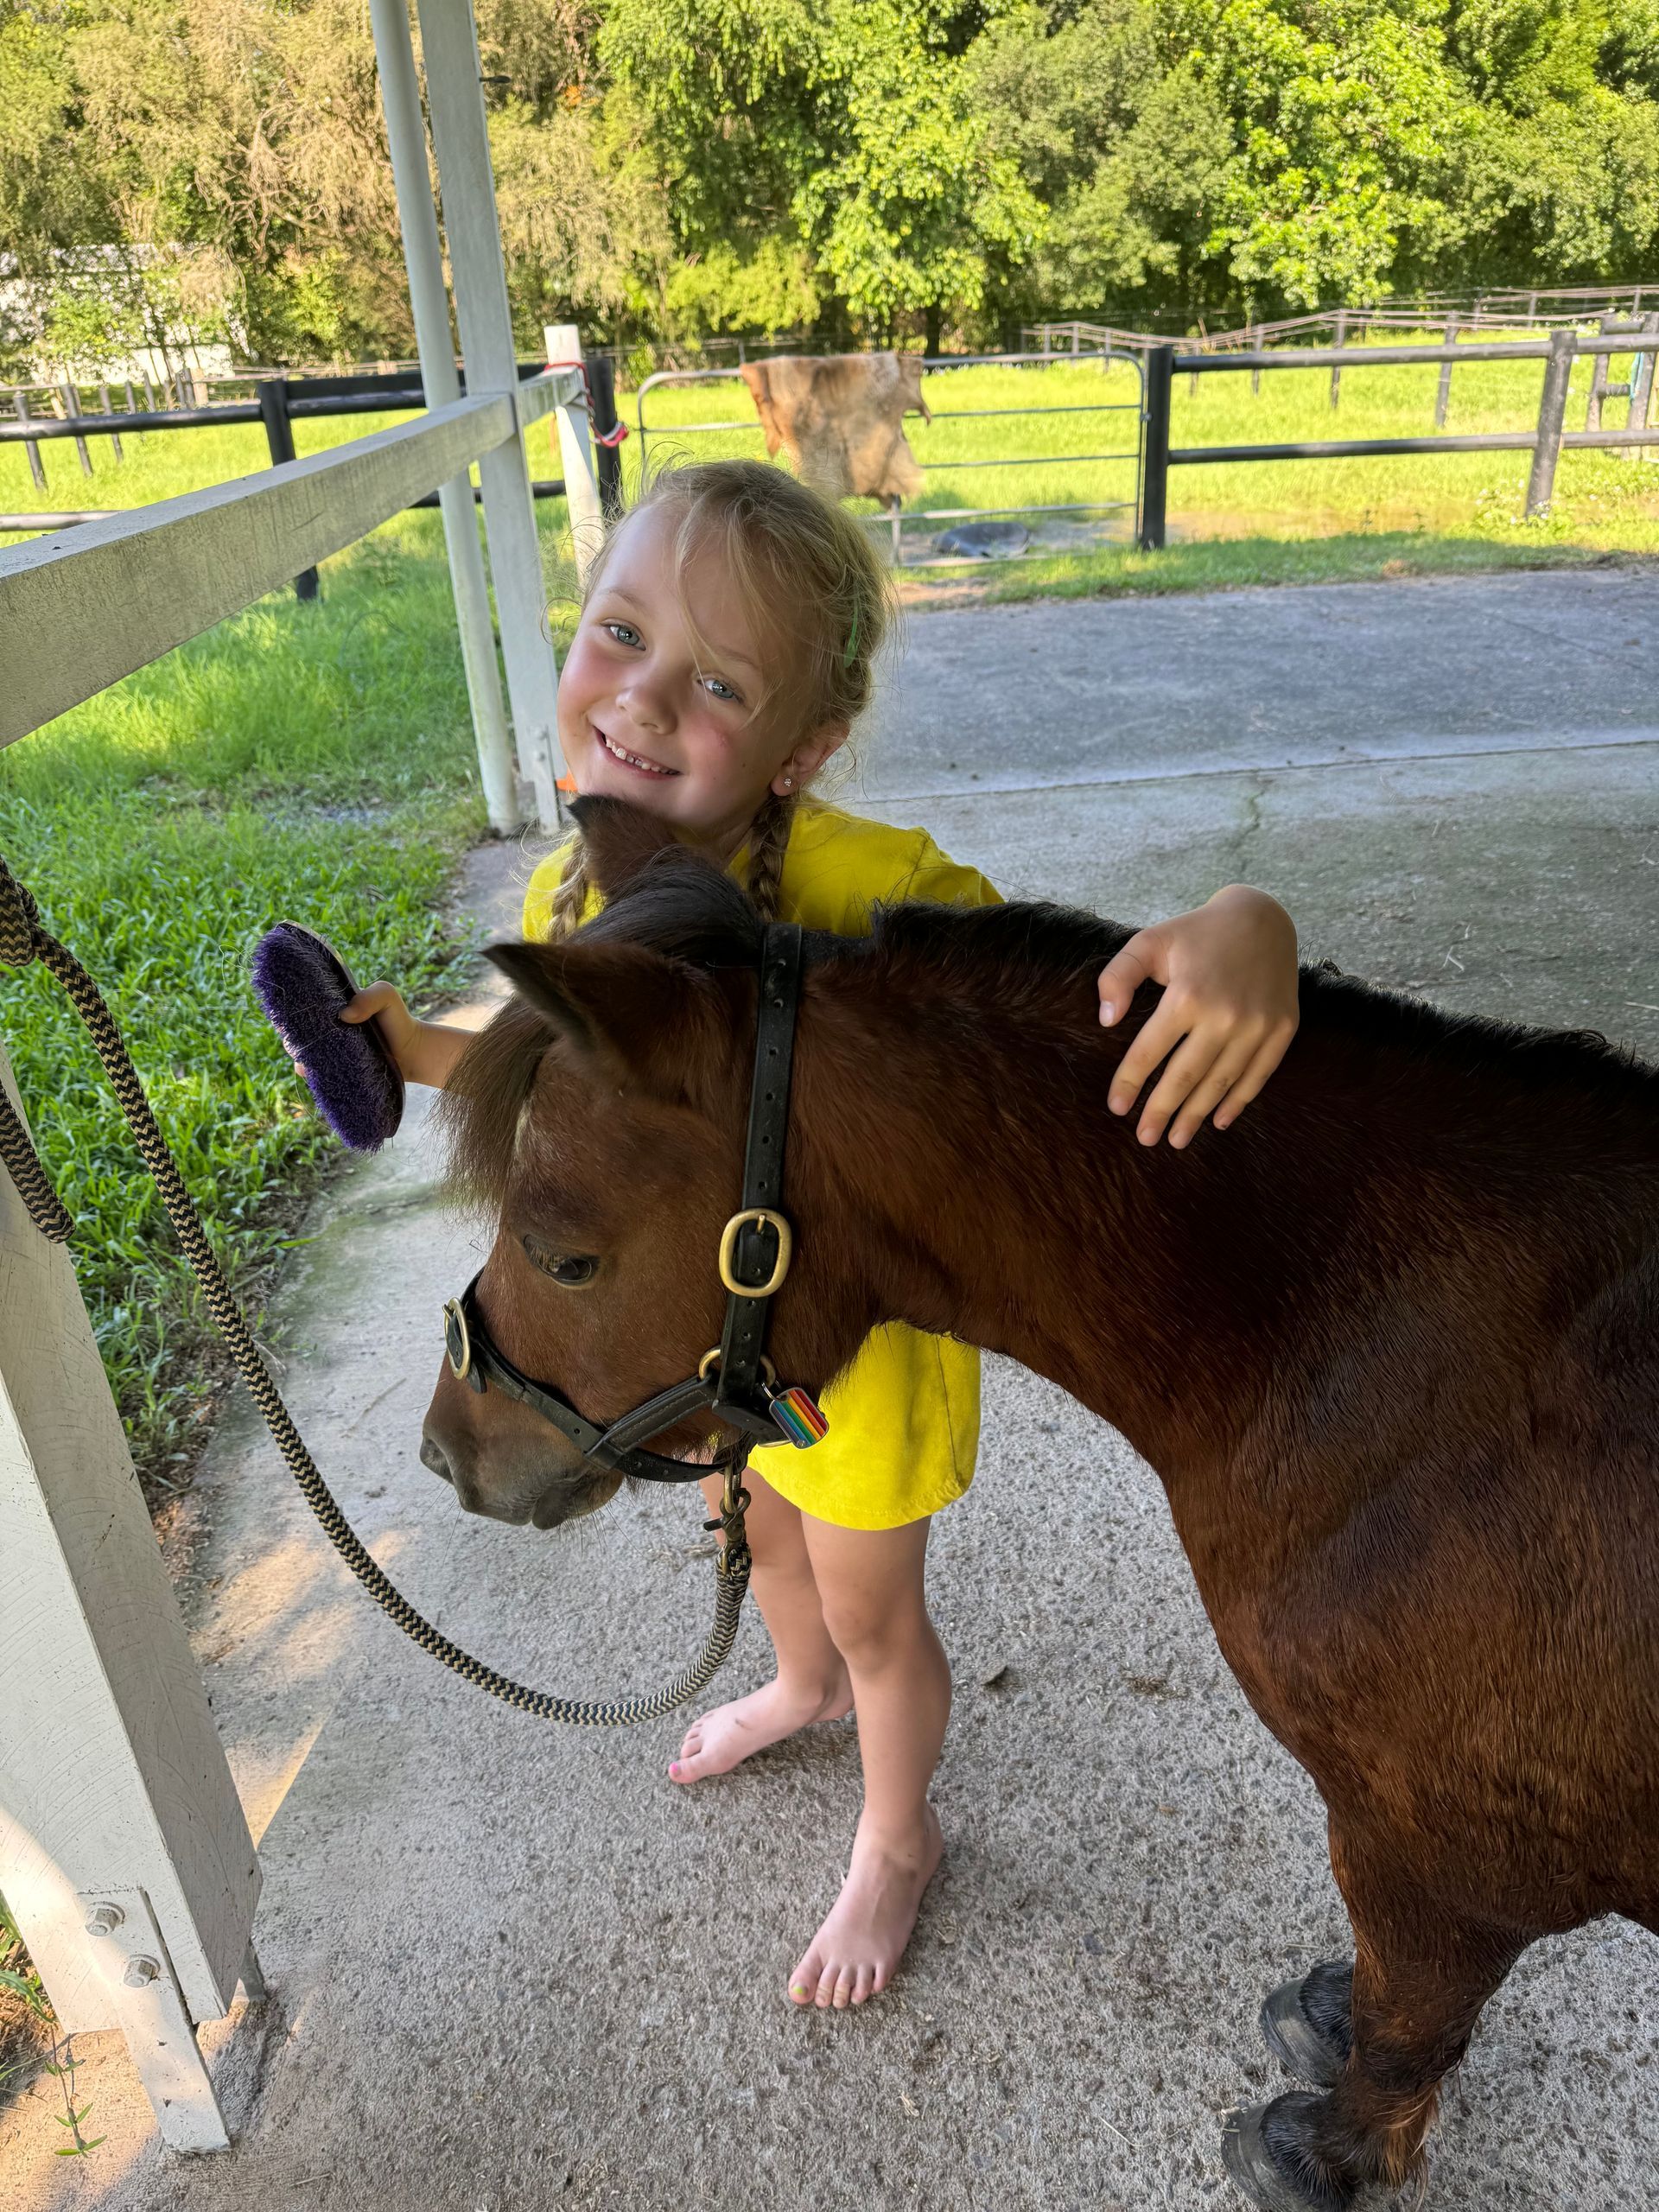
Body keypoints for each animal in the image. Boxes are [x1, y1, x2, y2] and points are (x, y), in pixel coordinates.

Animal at [420, 796, 1659, 2211]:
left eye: (564, 1255)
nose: (445, 1454)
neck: (1365, 1343)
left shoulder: (1439, 1854)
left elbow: (1416, 2014)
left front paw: (1325, 2151)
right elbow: (1387, 1992)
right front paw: (1329, 2022)